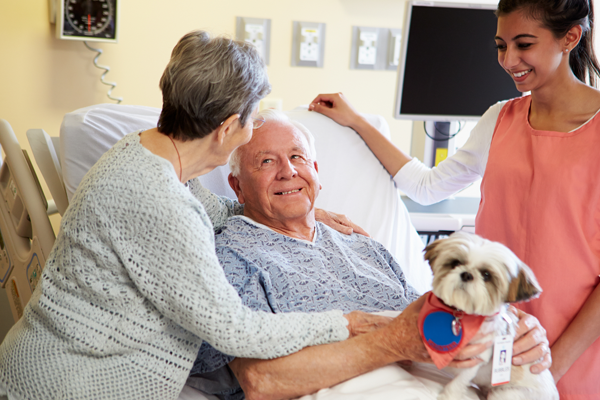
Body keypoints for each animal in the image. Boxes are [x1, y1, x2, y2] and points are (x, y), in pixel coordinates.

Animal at [420, 231, 556, 400]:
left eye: (486, 275)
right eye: (455, 263)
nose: (466, 274)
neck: (461, 315)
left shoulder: (475, 359)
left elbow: (458, 381)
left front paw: (447, 395)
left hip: (506, 394)